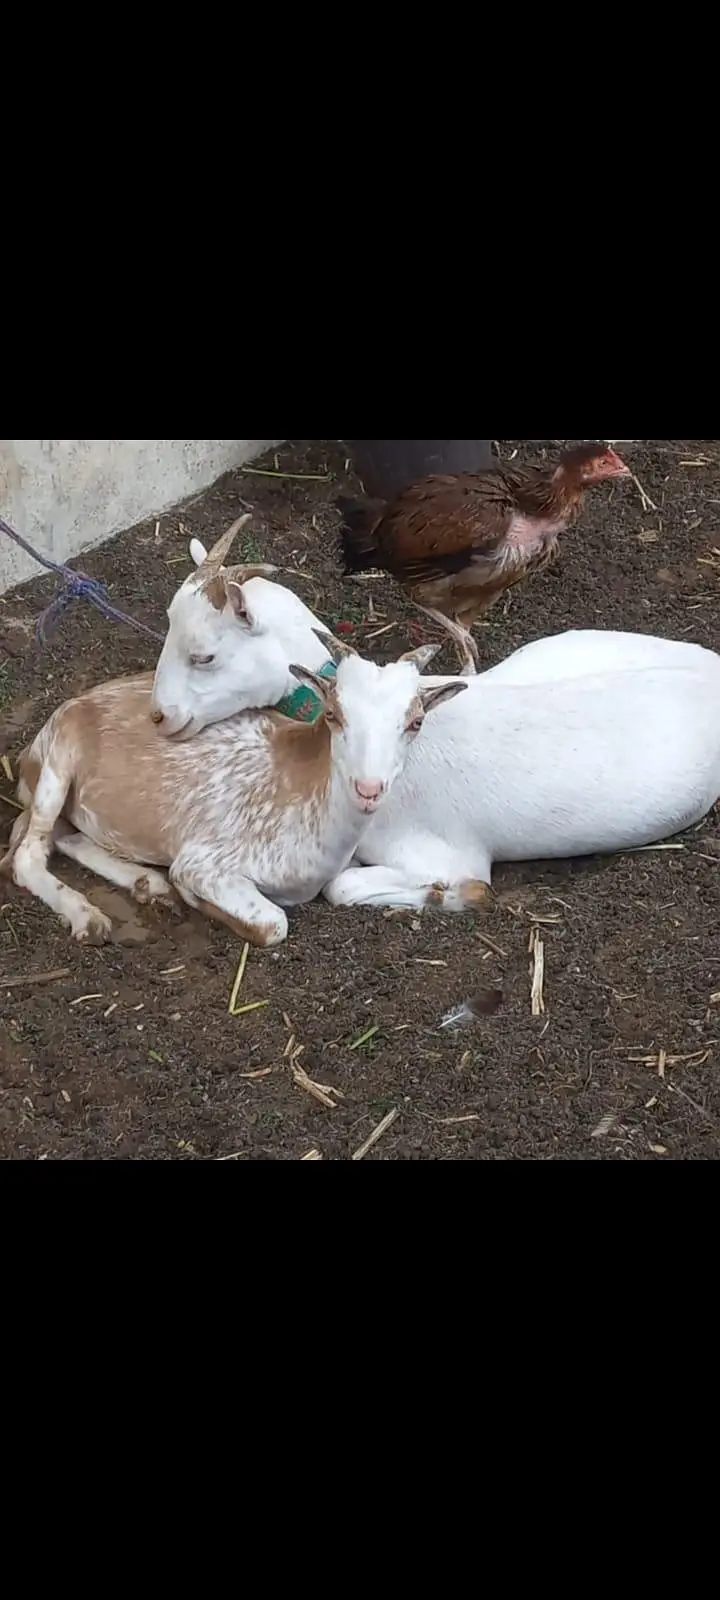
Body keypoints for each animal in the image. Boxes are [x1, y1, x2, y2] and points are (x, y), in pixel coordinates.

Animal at [1, 651, 466, 948]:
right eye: (334, 715)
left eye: (416, 722)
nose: (368, 789)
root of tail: (27, 759)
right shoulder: (204, 863)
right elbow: (274, 925)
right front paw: (185, 895)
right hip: (60, 756)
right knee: (24, 855)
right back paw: (89, 917)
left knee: (60, 835)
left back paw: (148, 885)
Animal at [149, 523, 720, 913]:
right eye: (335, 715)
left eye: (204, 655)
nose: (160, 716)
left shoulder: (445, 850)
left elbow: (344, 885)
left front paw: (449, 895)